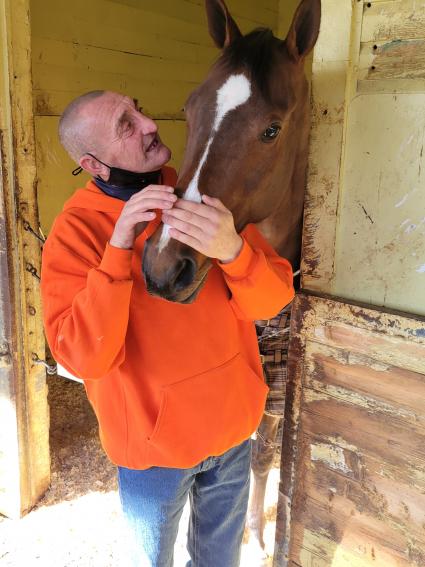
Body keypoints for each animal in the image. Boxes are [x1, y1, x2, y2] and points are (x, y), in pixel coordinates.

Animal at [142, 0, 318, 560]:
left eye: (272, 129)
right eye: (190, 108)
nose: (162, 267)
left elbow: (263, 454)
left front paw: (258, 535)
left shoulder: (280, 385)